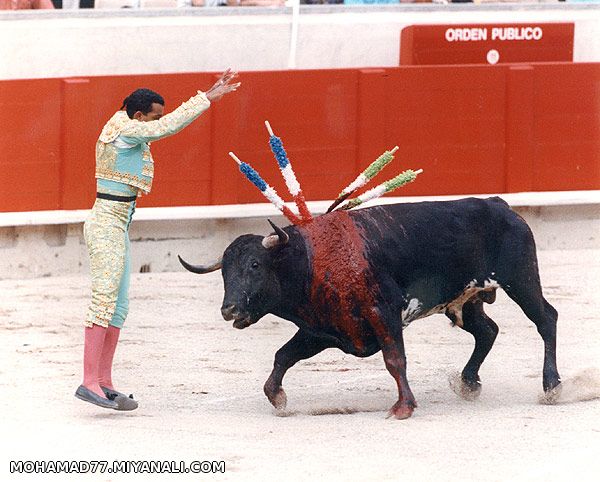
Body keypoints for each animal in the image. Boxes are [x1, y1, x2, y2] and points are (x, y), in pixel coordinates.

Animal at [179, 198, 564, 420]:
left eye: (255, 265)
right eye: (224, 272)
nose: (229, 310)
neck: (310, 261)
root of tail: (500, 205)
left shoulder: (384, 314)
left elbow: (395, 360)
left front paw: (403, 407)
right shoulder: (322, 329)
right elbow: (283, 355)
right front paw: (277, 397)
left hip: (521, 280)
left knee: (546, 319)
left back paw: (552, 386)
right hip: (466, 301)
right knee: (487, 331)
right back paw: (468, 383)